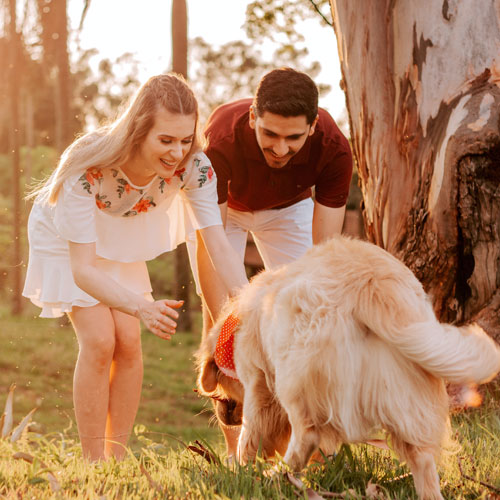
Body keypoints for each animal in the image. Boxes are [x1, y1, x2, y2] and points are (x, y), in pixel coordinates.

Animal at [195, 235, 500, 500]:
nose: (222, 415)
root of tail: (371, 282)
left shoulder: (258, 383)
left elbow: (252, 432)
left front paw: (241, 468)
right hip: (405, 390)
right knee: (422, 458)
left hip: (293, 378)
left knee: (308, 433)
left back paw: (279, 476)